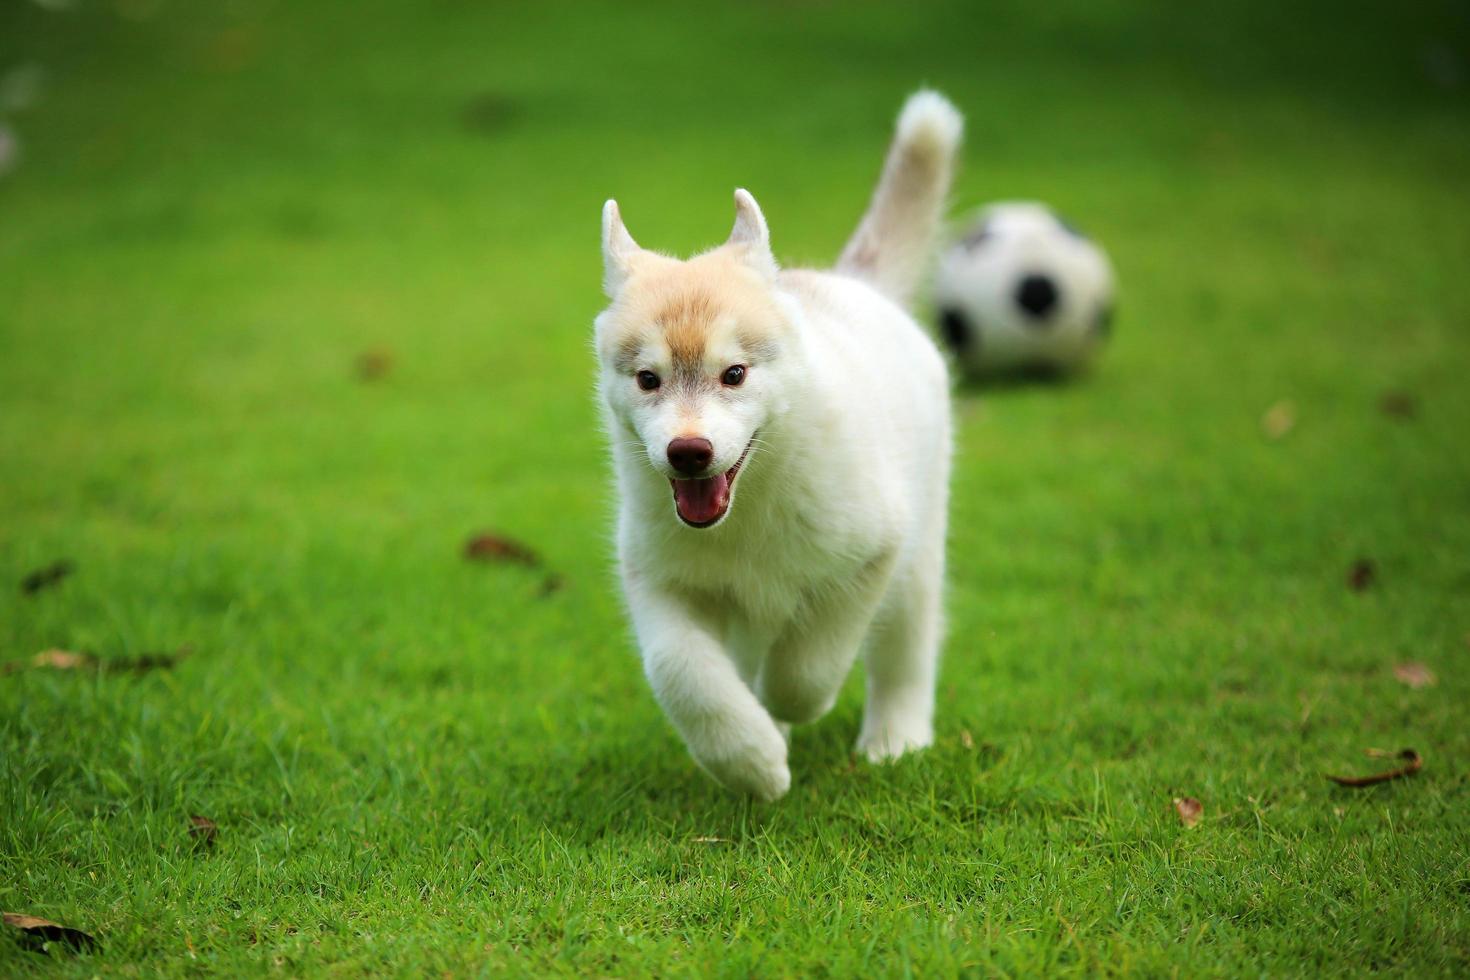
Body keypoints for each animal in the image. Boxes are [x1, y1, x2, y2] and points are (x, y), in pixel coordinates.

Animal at [590, 91, 958, 799]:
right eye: (648, 379)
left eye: (734, 374)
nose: (688, 452)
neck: (750, 510)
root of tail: (852, 283)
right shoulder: (659, 578)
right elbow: (682, 672)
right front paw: (751, 759)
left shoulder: (871, 554)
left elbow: (808, 666)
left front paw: (783, 708)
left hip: (918, 555)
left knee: (904, 652)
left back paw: (895, 740)